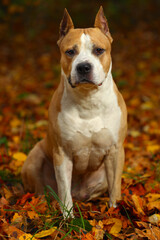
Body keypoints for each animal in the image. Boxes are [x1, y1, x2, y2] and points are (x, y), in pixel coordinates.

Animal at [21, 6, 127, 218]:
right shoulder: (62, 154)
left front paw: (114, 212)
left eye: (98, 50)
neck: (88, 101)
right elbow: (64, 190)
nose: (84, 66)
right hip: (35, 157)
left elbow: (115, 189)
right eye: (70, 52)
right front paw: (68, 218)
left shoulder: (115, 151)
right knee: (42, 190)